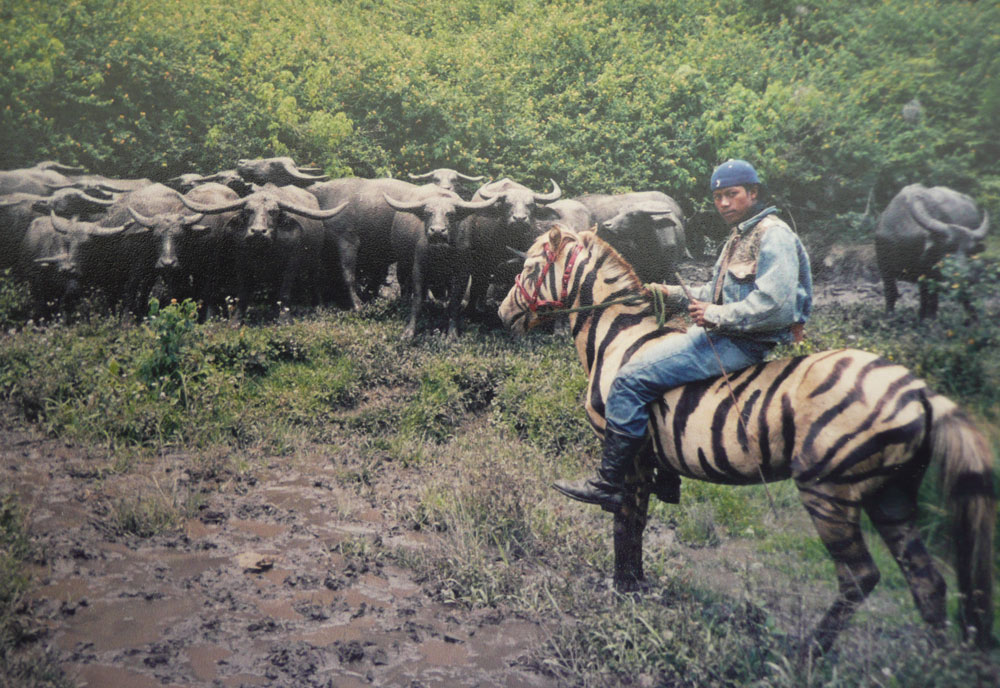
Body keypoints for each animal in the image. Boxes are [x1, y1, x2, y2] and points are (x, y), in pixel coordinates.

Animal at [182, 181, 346, 324]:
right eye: (248, 211)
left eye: (273, 212)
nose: (258, 232)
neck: (264, 252)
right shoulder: (241, 263)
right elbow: (243, 293)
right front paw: (236, 321)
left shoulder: (291, 264)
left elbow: (284, 292)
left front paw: (284, 320)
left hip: (315, 262)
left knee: (315, 283)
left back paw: (318, 308)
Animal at [388, 187, 504, 340]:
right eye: (427, 213)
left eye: (450, 214)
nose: (437, 231)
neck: (441, 253)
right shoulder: (418, 268)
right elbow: (417, 299)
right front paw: (409, 332)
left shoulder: (461, 273)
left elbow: (454, 302)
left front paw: (452, 334)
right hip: (402, 264)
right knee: (405, 286)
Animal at [496, 227, 996, 656]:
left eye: (530, 267)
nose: (502, 314)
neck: (616, 342)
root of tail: (919, 390)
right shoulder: (648, 458)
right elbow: (636, 522)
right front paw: (636, 585)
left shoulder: (628, 444)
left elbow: (625, 519)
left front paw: (625, 588)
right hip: (891, 494)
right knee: (927, 580)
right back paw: (933, 662)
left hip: (829, 491)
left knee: (859, 576)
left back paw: (807, 653)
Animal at [880, 185, 988, 320]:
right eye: (948, 248)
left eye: (969, 251)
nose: (967, 277)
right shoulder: (885, 269)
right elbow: (891, 293)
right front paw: (889, 315)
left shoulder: (927, 274)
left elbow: (929, 298)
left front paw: (927, 317)